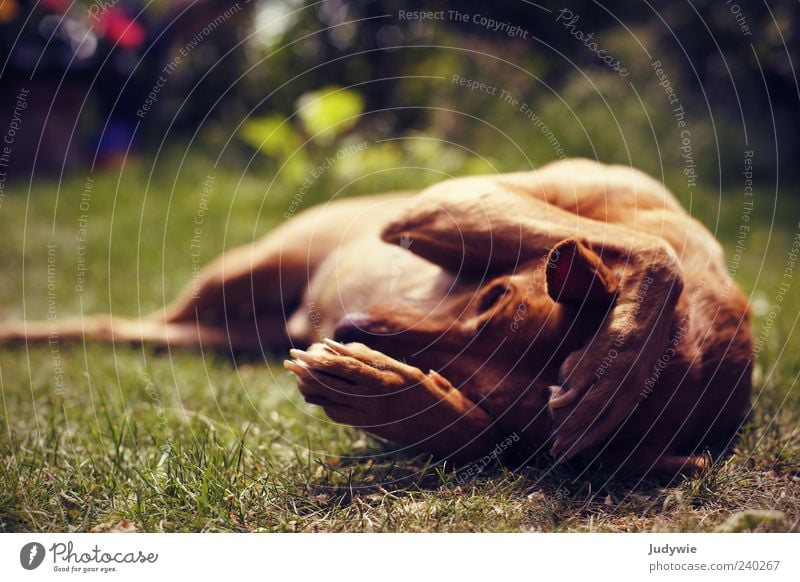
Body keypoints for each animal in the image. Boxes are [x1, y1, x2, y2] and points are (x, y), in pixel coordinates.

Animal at [0, 160, 752, 480]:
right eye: (491, 297)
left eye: (482, 391)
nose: (343, 327)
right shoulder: (452, 199)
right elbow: (651, 252)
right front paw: (621, 358)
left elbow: (476, 436)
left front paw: (387, 392)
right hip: (241, 270)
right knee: (111, 319)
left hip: (217, 332)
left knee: (126, 331)